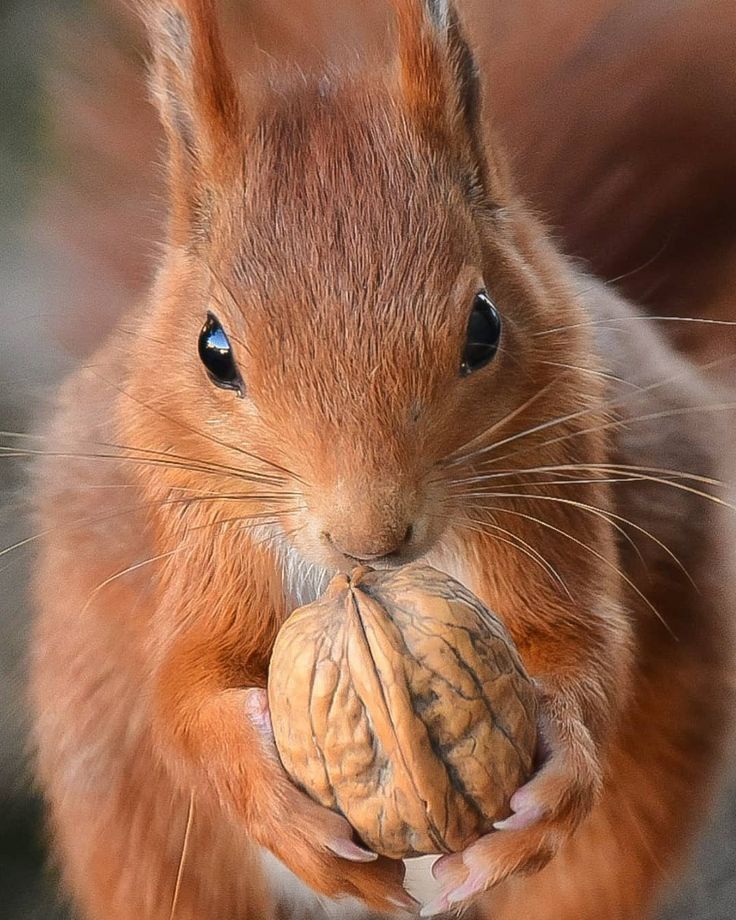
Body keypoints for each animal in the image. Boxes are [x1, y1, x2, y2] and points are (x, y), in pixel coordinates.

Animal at [28, 1, 736, 918]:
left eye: (484, 325)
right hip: (125, 810)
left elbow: (584, 649)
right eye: (213, 349)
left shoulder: (551, 499)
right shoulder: (205, 541)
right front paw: (271, 796)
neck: (362, 586)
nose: (370, 539)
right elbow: (184, 693)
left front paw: (560, 767)